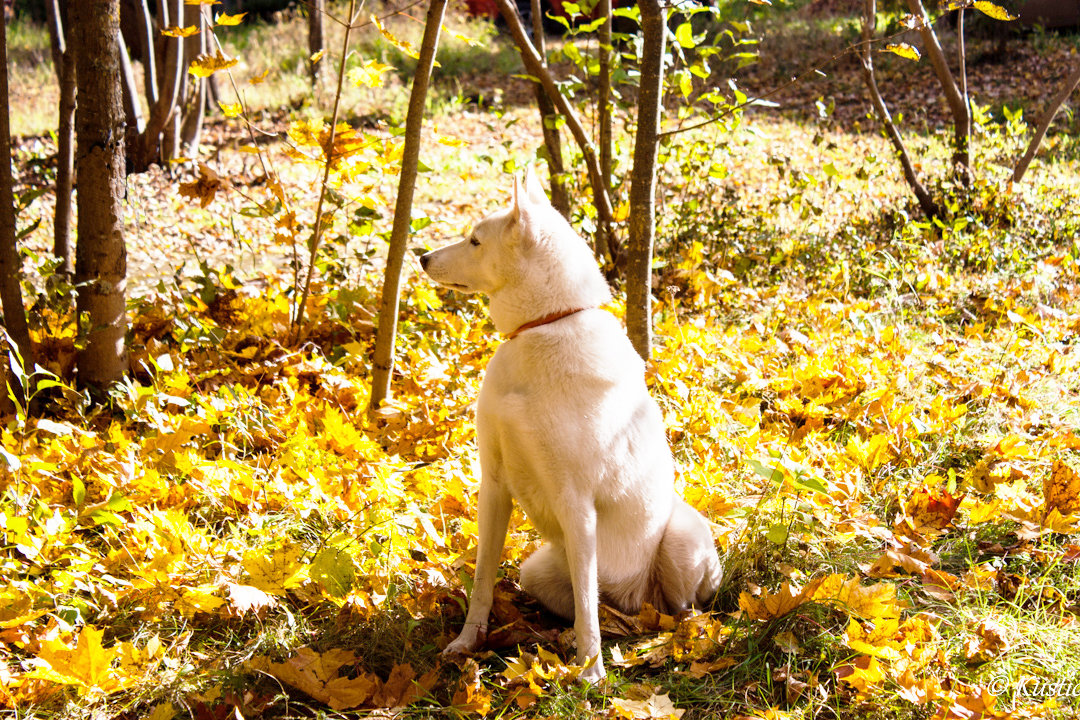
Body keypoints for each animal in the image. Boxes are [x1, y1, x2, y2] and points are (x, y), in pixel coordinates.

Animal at [419, 169, 717, 682]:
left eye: (475, 240)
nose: (421, 257)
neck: (542, 326)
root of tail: (635, 599)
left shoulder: (576, 502)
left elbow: (586, 611)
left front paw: (590, 673)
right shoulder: (493, 485)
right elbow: (483, 579)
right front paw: (467, 641)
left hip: (680, 540)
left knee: (672, 608)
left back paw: (671, 635)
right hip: (538, 570)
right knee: (595, 602)